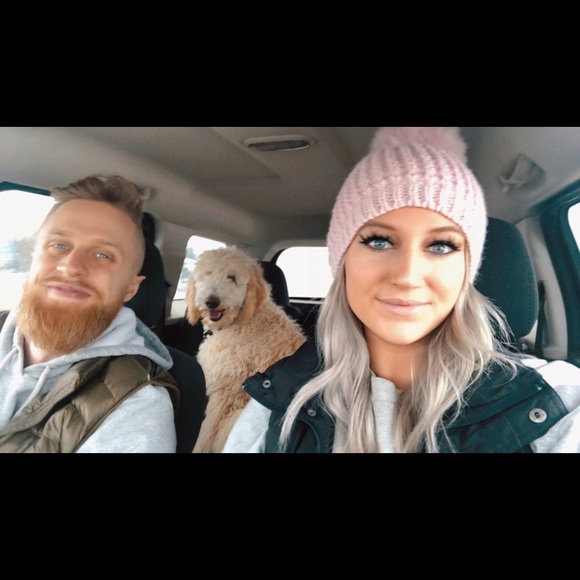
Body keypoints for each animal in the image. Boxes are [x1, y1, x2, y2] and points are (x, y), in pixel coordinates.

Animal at [186, 246, 306, 453]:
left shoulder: (224, 393)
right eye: (207, 274)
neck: (240, 320)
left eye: (232, 278)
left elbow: (205, 434)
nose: (211, 301)